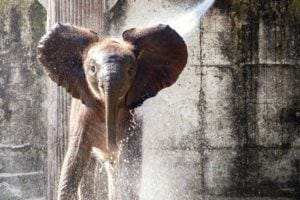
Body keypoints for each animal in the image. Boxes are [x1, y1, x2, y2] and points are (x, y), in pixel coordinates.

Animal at [37, 22, 188, 199]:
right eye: (92, 69)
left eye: (131, 69)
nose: (112, 147)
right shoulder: (83, 114)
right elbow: (74, 159)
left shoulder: (131, 121)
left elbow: (128, 164)